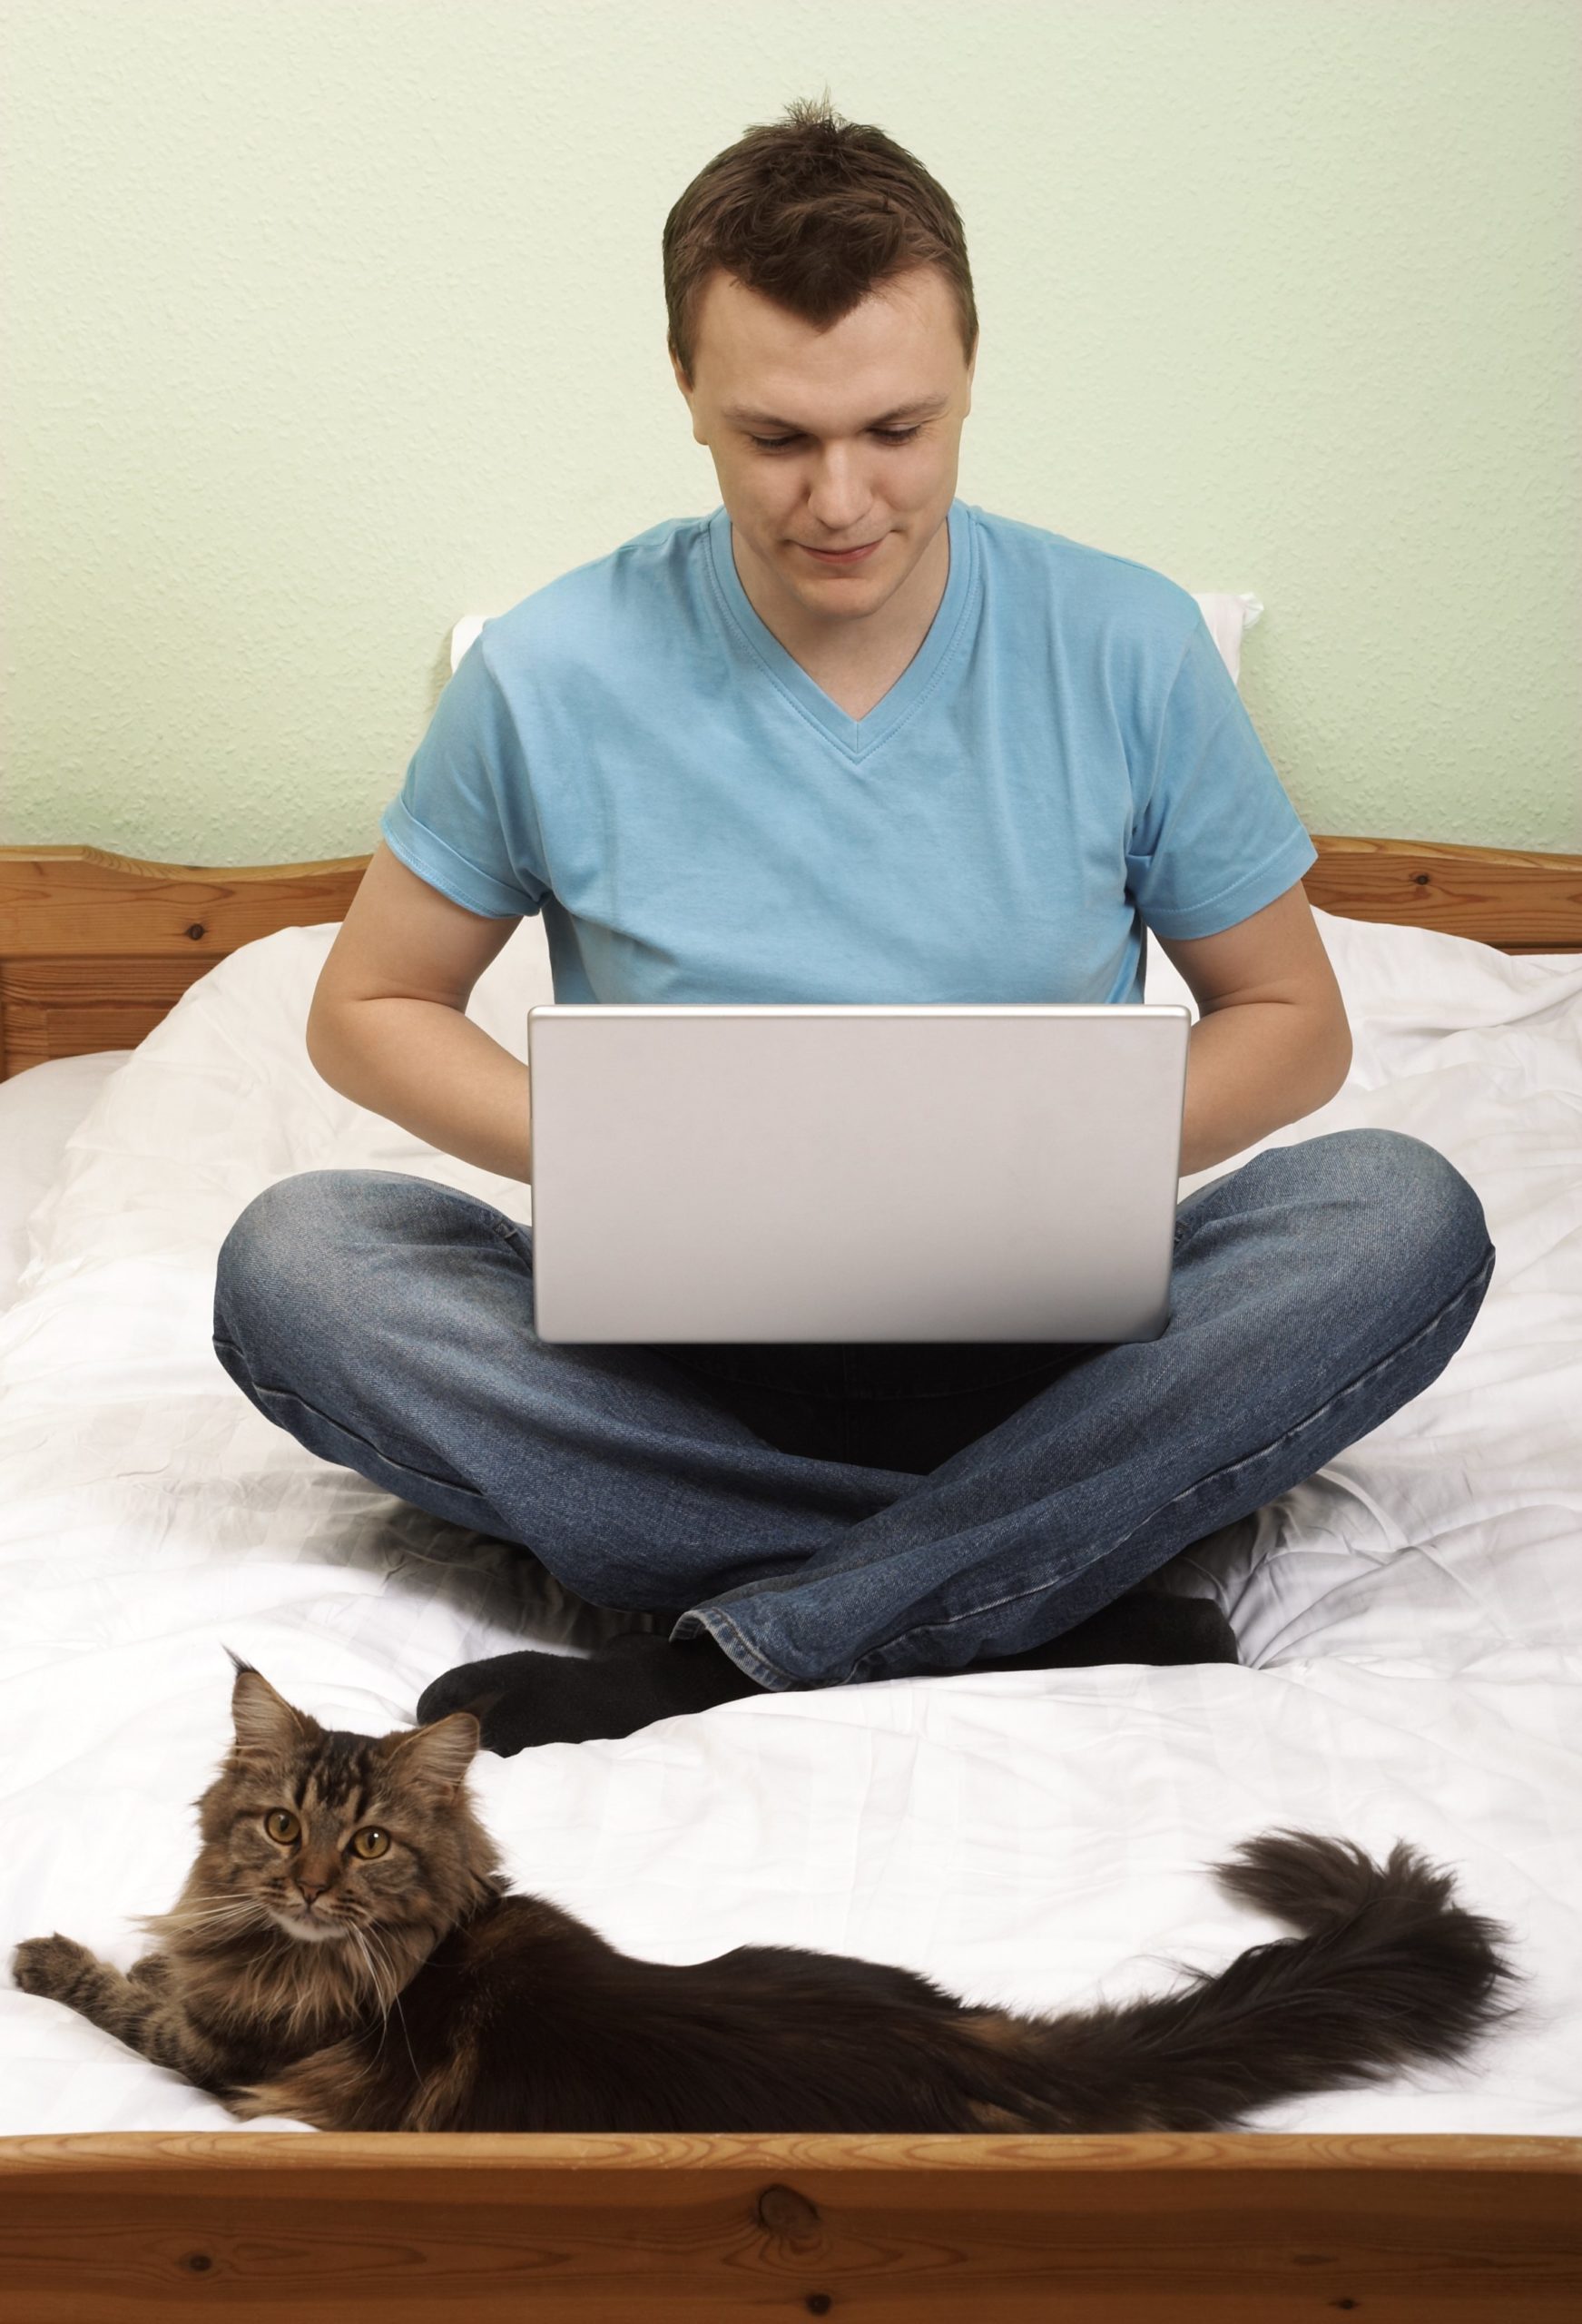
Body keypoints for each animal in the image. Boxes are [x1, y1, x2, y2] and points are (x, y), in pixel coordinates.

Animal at [12, 1663, 1514, 2128]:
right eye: (280, 1826)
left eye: (369, 1845)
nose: (312, 1884)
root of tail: (977, 2049)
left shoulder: (224, 2057)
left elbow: (127, 1992)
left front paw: (46, 1952)